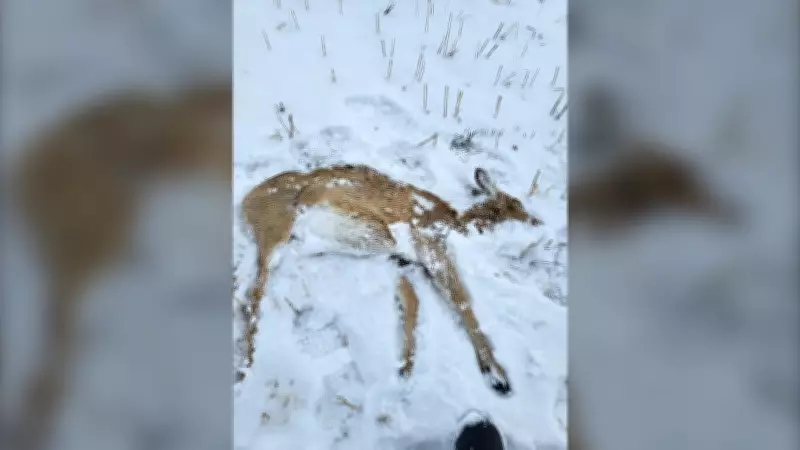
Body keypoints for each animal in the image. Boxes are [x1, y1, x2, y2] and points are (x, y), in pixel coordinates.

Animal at [238, 164, 544, 396]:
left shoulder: (400, 262)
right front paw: (497, 376)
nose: (539, 223)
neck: (456, 225)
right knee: (254, 297)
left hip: (292, 245)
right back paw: (245, 369)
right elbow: (461, 301)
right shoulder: (429, 246)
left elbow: (412, 303)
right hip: (277, 231)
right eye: (517, 205)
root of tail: (246, 200)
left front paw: (405, 366)